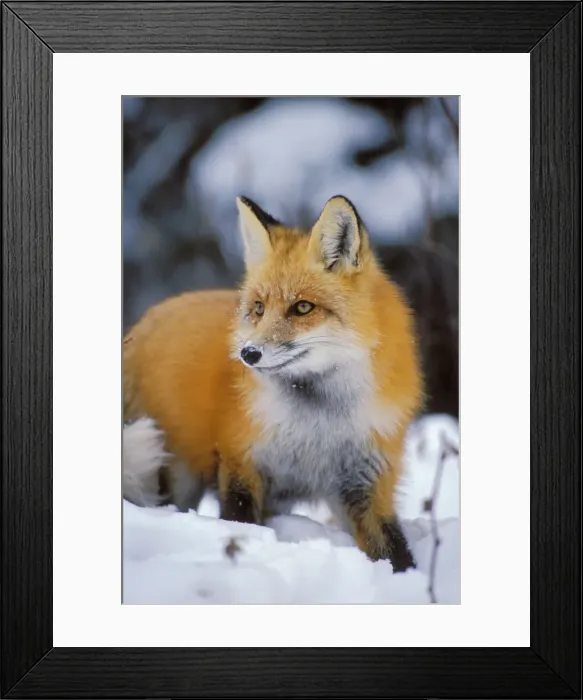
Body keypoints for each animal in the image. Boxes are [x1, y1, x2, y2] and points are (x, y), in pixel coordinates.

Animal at [123, 195, 424, 572]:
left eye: (303, 307)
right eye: (258, 308)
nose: (248, 353)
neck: (318, 424)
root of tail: (143, 322)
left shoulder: (367, 481)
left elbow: (395, 554)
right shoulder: (242, 464)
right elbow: (240, 524)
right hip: (173, 473)